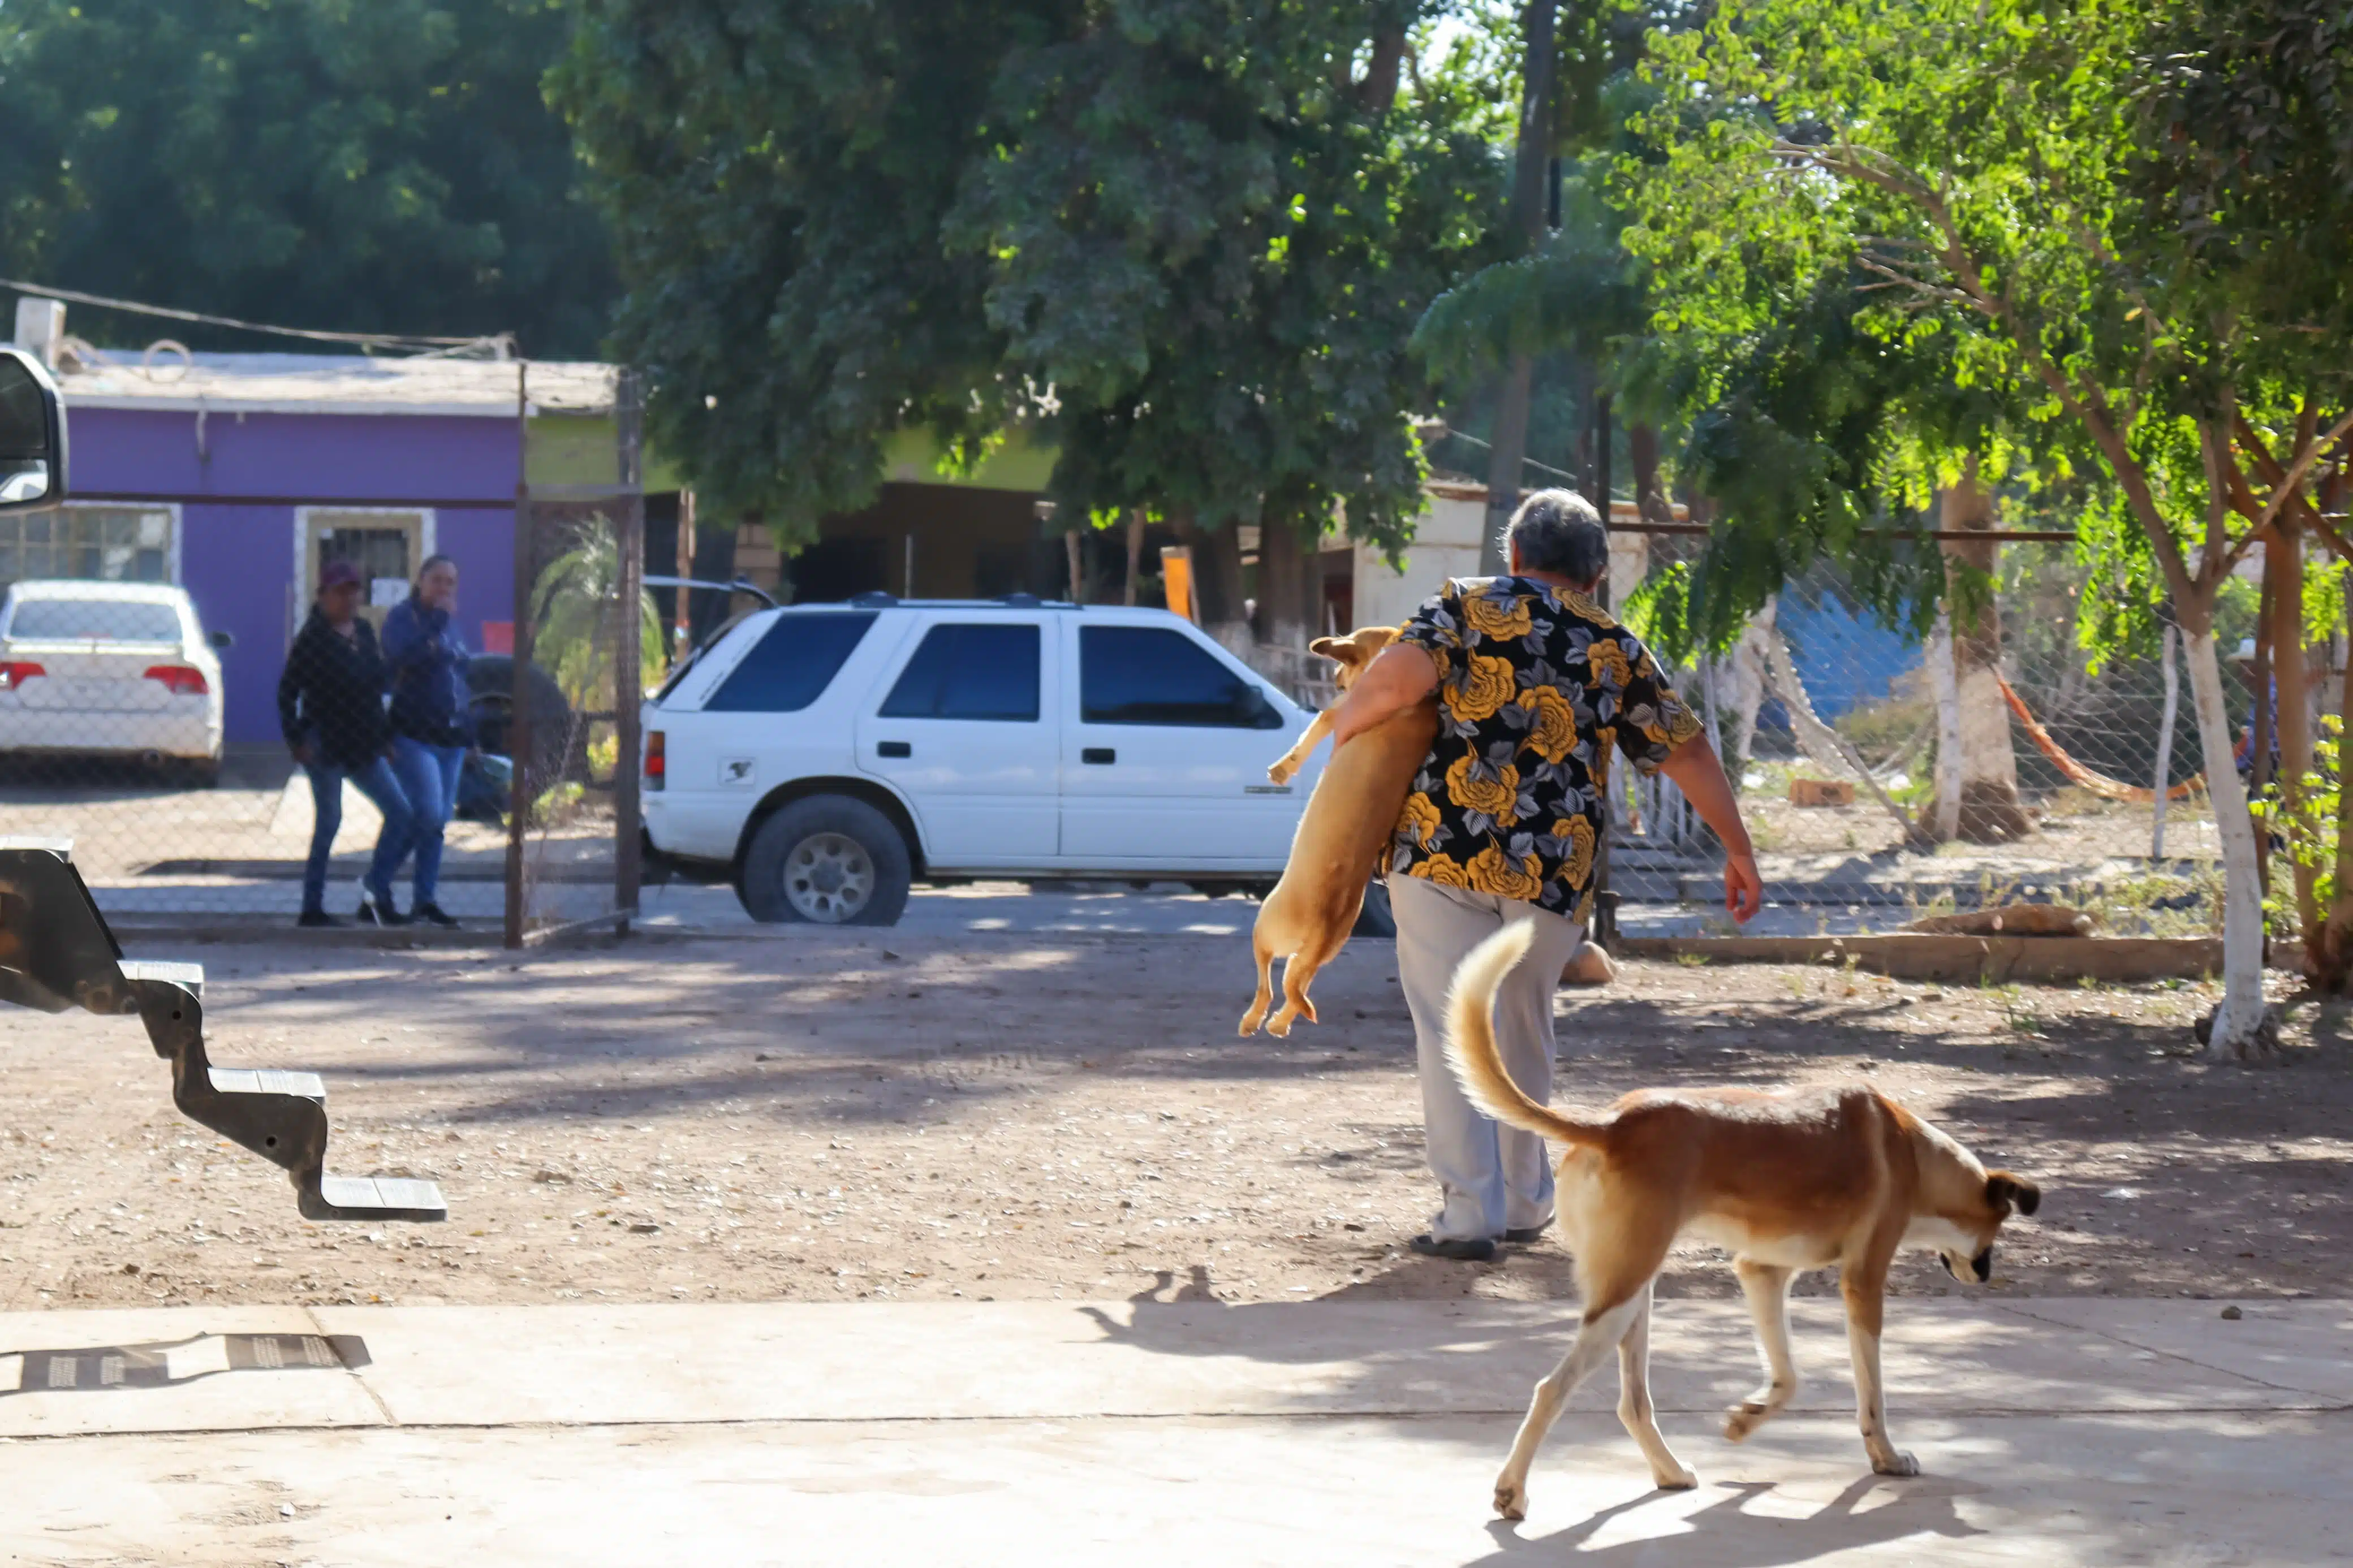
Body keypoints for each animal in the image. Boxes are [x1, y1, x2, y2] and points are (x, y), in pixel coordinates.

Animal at [1440, 921, 2033, 1523]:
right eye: (1997, 1230)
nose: (1986, 1274)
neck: (1913, 1152)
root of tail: (1612, 1124)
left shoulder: (1761, 1272)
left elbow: (1788, 1377)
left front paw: (1746, 1420)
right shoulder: (1863, 1285)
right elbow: (1871, 1394)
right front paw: (1886, 1457)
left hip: (1636, 1293)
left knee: (1633, 1403)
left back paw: (1670, 1472)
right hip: (1621, 1295)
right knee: (1550, 1389)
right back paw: (1513, 1490)